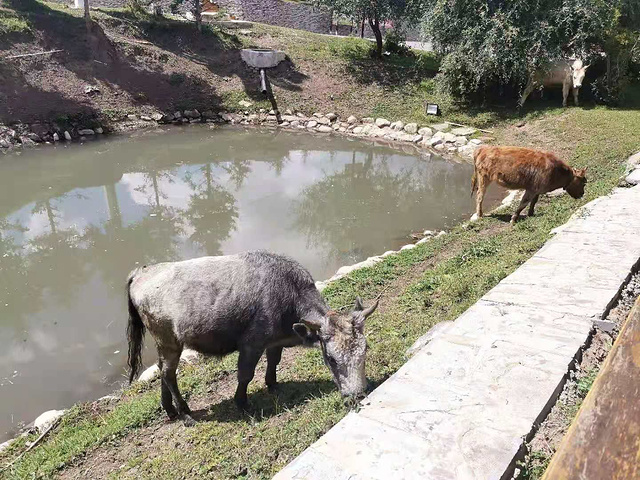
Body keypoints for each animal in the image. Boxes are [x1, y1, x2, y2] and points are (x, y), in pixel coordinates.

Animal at [125, 251, 378, 424]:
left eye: (365, 351)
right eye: (332, 359)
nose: (358, 395)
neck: (287, 296)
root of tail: (142, 271)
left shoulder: (274, 342)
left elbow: (274, 361)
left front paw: (273, 385)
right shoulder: (251, 344)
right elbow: (245, 375)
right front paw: (243, 403)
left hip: (164, 344)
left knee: (162, 371)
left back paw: (169, 410)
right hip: (170, 342)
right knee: (169, 373)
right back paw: (186, 414)